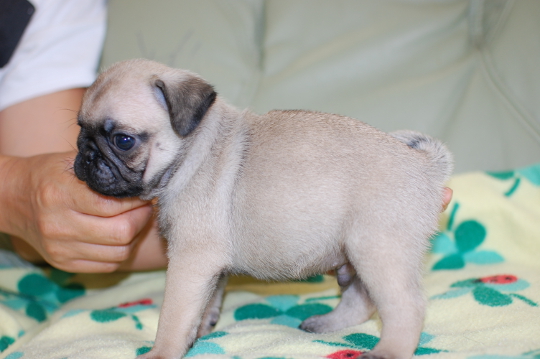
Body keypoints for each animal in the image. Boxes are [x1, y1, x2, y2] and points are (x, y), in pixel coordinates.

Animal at [71, 59, 452, 359]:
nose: (86, 155)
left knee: (406, 307)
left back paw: (388, 351)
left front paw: (162, 352)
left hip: (378, 249)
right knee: (362, 299)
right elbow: (205, 304)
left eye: (123, 140)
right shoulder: (209, 267)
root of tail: (425, 166)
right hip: (357, 254)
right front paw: (200, 331)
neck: (194, 151)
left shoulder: (189, 262)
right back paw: (326, 324)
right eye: (79, 130)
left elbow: (174, 316)